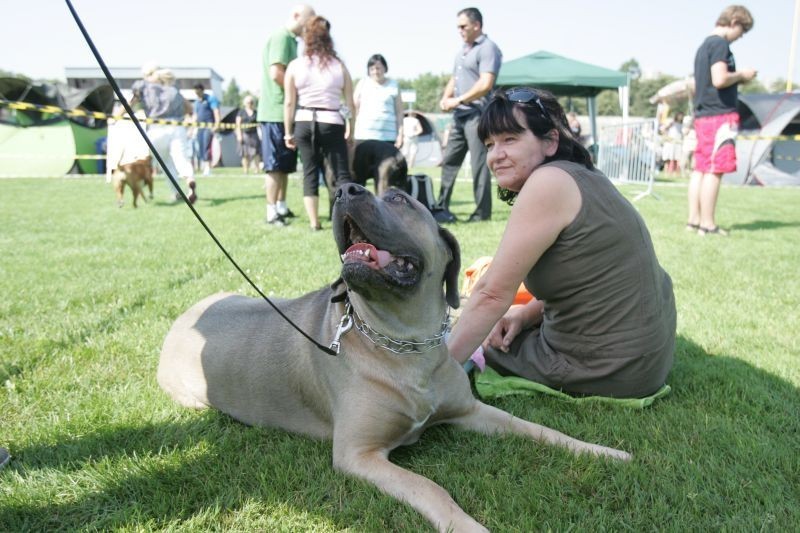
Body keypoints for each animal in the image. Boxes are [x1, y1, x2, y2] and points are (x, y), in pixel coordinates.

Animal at [158, 184, 632, 532]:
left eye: (399, 198)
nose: (343, 188)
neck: (404, 342)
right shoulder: (359, 454)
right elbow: (429, 488)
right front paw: (469, 526)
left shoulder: (472, 411)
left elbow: (538, 428)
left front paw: (600, 451)